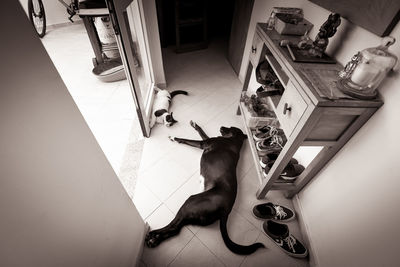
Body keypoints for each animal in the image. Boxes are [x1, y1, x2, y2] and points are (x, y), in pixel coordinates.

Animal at [145, 121, 266, 255]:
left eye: (231, 128)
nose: (221, 126)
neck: (234, 140)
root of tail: (226, 210)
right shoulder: (207, 140)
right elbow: (202, 132)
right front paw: (195, 125)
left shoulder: (205, 143)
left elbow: (187, 139)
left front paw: (174, 138)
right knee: (176, 230)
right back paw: (155, 241)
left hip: (191, 202)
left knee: (174, 226)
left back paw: (153, 234)